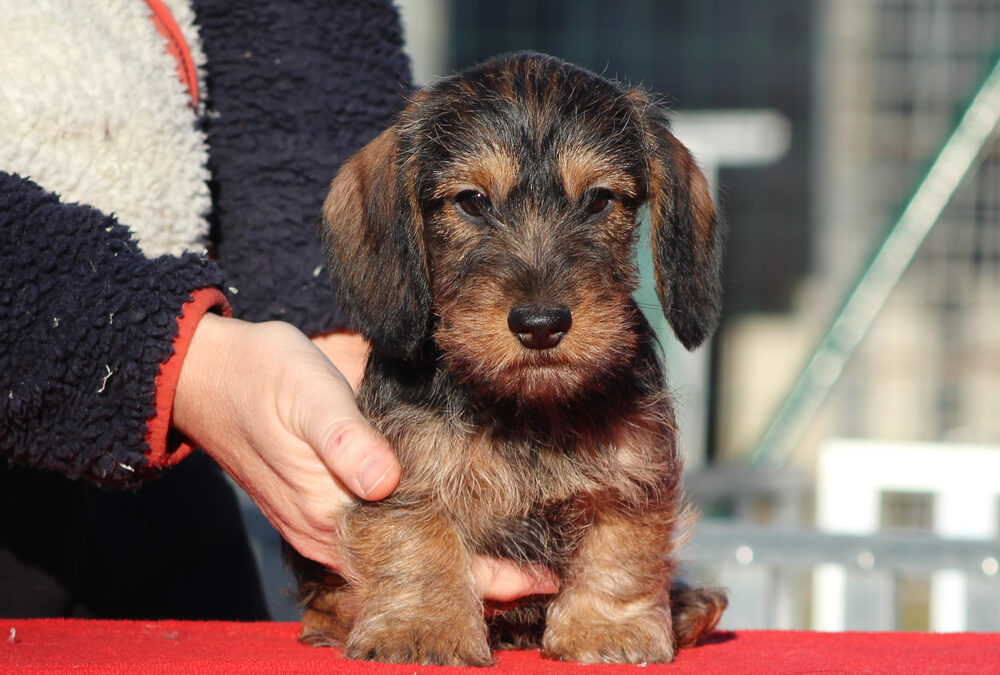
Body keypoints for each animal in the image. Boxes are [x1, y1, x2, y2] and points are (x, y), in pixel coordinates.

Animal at [290, 51, 728, 664]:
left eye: (599, 199)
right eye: (472, 201)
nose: (540, 325)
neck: (526, 409)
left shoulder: (633, 471)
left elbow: (620, 548)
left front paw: (605, 630)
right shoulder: (405, 471)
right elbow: (417, 541)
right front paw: (422, 629)